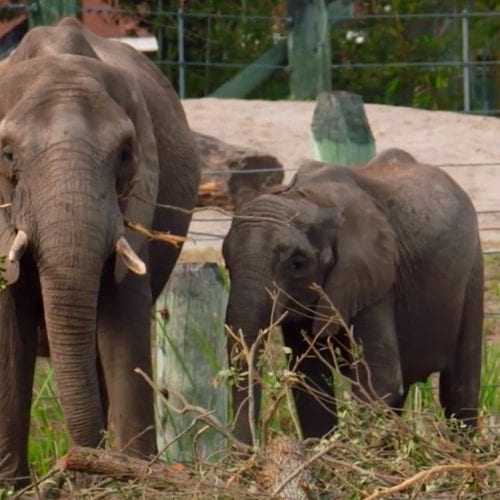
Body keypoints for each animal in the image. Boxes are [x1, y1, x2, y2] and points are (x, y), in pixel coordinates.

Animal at [0, 18, 199, 484]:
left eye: (125, 154)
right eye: (8, 155)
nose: (74, 469)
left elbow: (122, 315)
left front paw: (131, 476)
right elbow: (7, 331)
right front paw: (12, 486)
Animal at [225, 149, 482, 446]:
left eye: (297, 264)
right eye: (226, 263)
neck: (313, 198)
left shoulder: (374, 277)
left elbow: (380, 380)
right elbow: (310, 382)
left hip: (472, 271)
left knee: (459, 390)